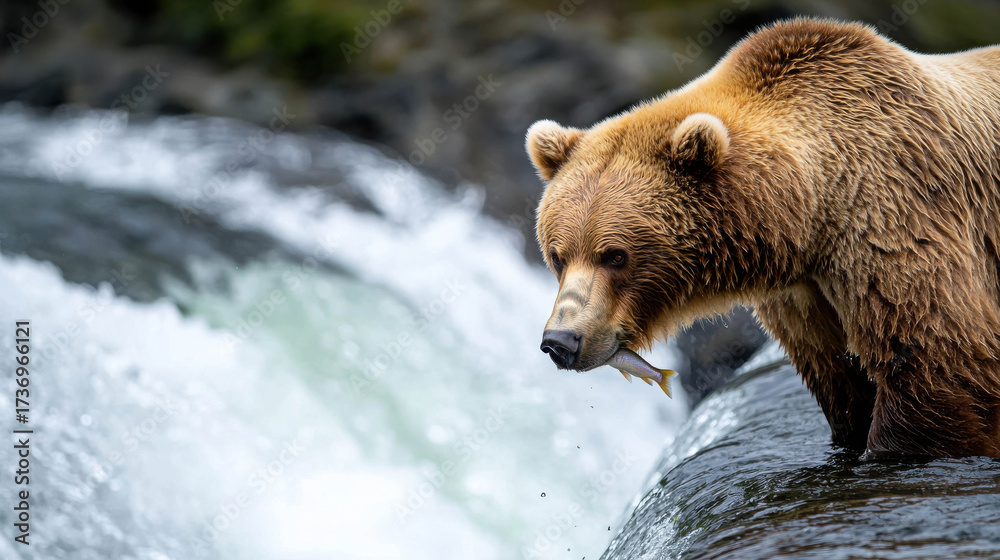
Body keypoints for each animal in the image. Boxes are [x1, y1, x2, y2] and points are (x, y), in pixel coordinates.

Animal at [526, 18, 1000, 458]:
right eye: (558, 256)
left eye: (615, 255)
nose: (561, 341)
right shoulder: (803, 296)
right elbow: (842, 379)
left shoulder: (895, 214)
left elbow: (934, 360)